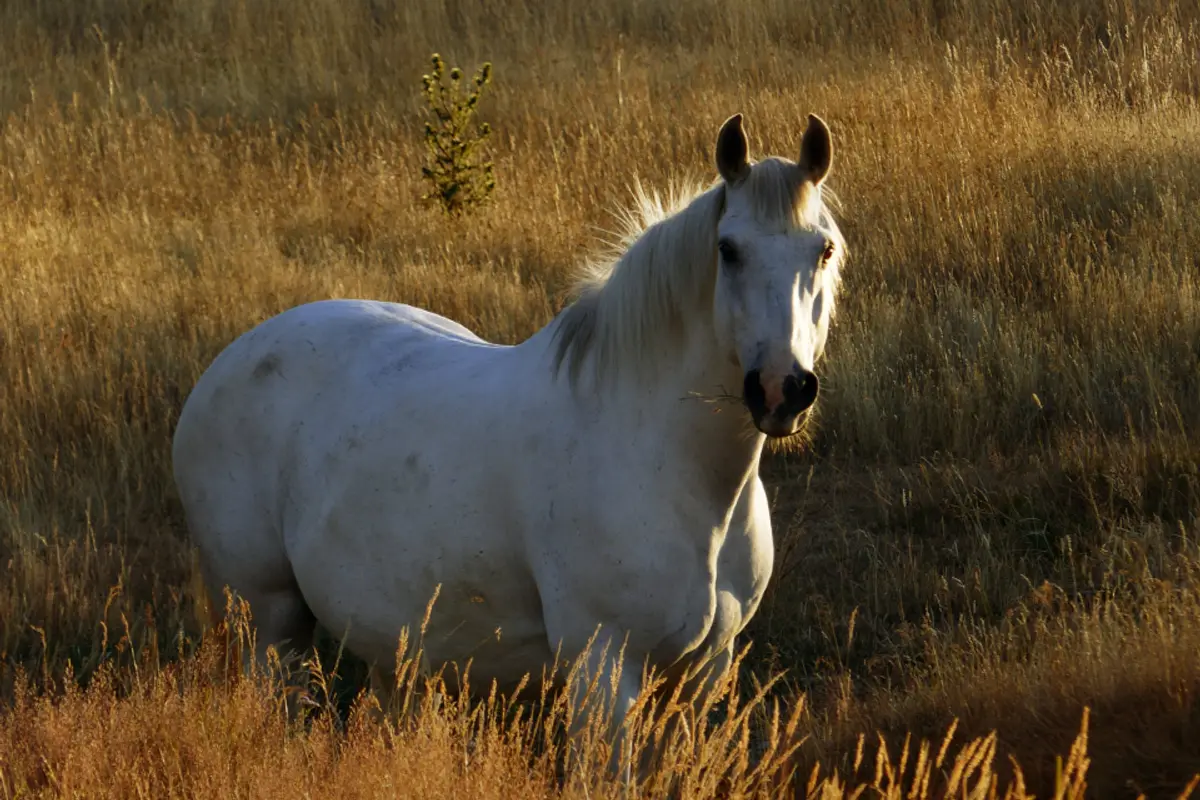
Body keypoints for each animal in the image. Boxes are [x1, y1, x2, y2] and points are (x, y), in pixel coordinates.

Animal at [172, 111, 846, 782]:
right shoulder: (603, 669)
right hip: (270, 622)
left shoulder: (703, 672)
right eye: (729, 250)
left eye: (825, 249)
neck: (669, 467)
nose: (782, 389)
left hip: (390, 641)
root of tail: (230, 362)